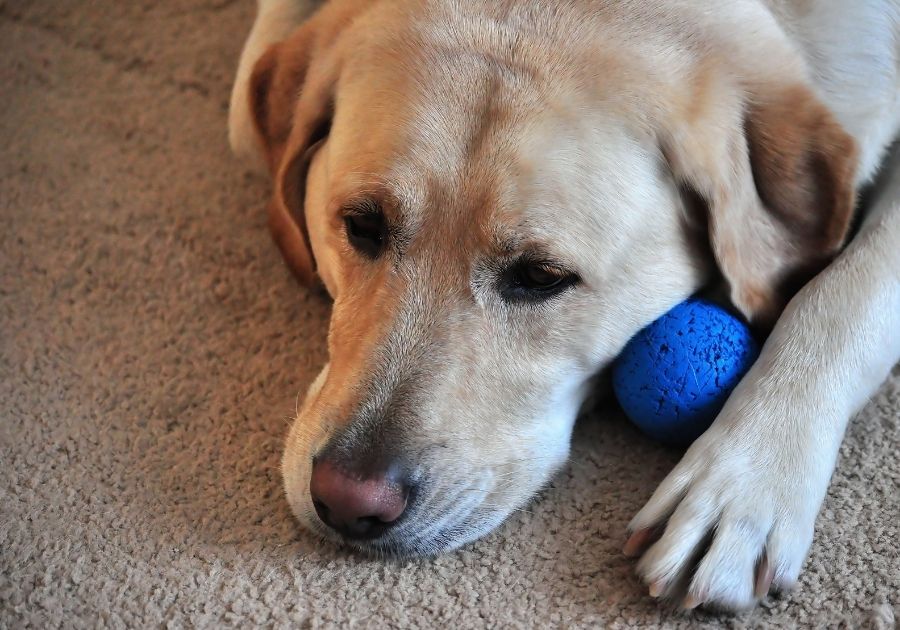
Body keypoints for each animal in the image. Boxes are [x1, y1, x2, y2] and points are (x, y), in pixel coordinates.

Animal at [227, 0, 900, 612]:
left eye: (540, 276)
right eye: (363, 225)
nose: (348, 502)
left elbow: (844, 294)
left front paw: (740, 487)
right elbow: (244, 103)